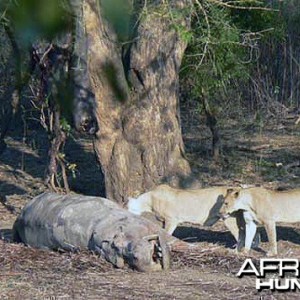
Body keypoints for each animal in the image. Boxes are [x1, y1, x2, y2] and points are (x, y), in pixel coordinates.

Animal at [126, 184, 260, 250]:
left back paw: (237, 250)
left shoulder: (171, 220)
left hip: (229, 218)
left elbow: (167, 233)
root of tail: (239, 189)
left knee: (240, 234)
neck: (149, 200)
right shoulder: (164, 221)